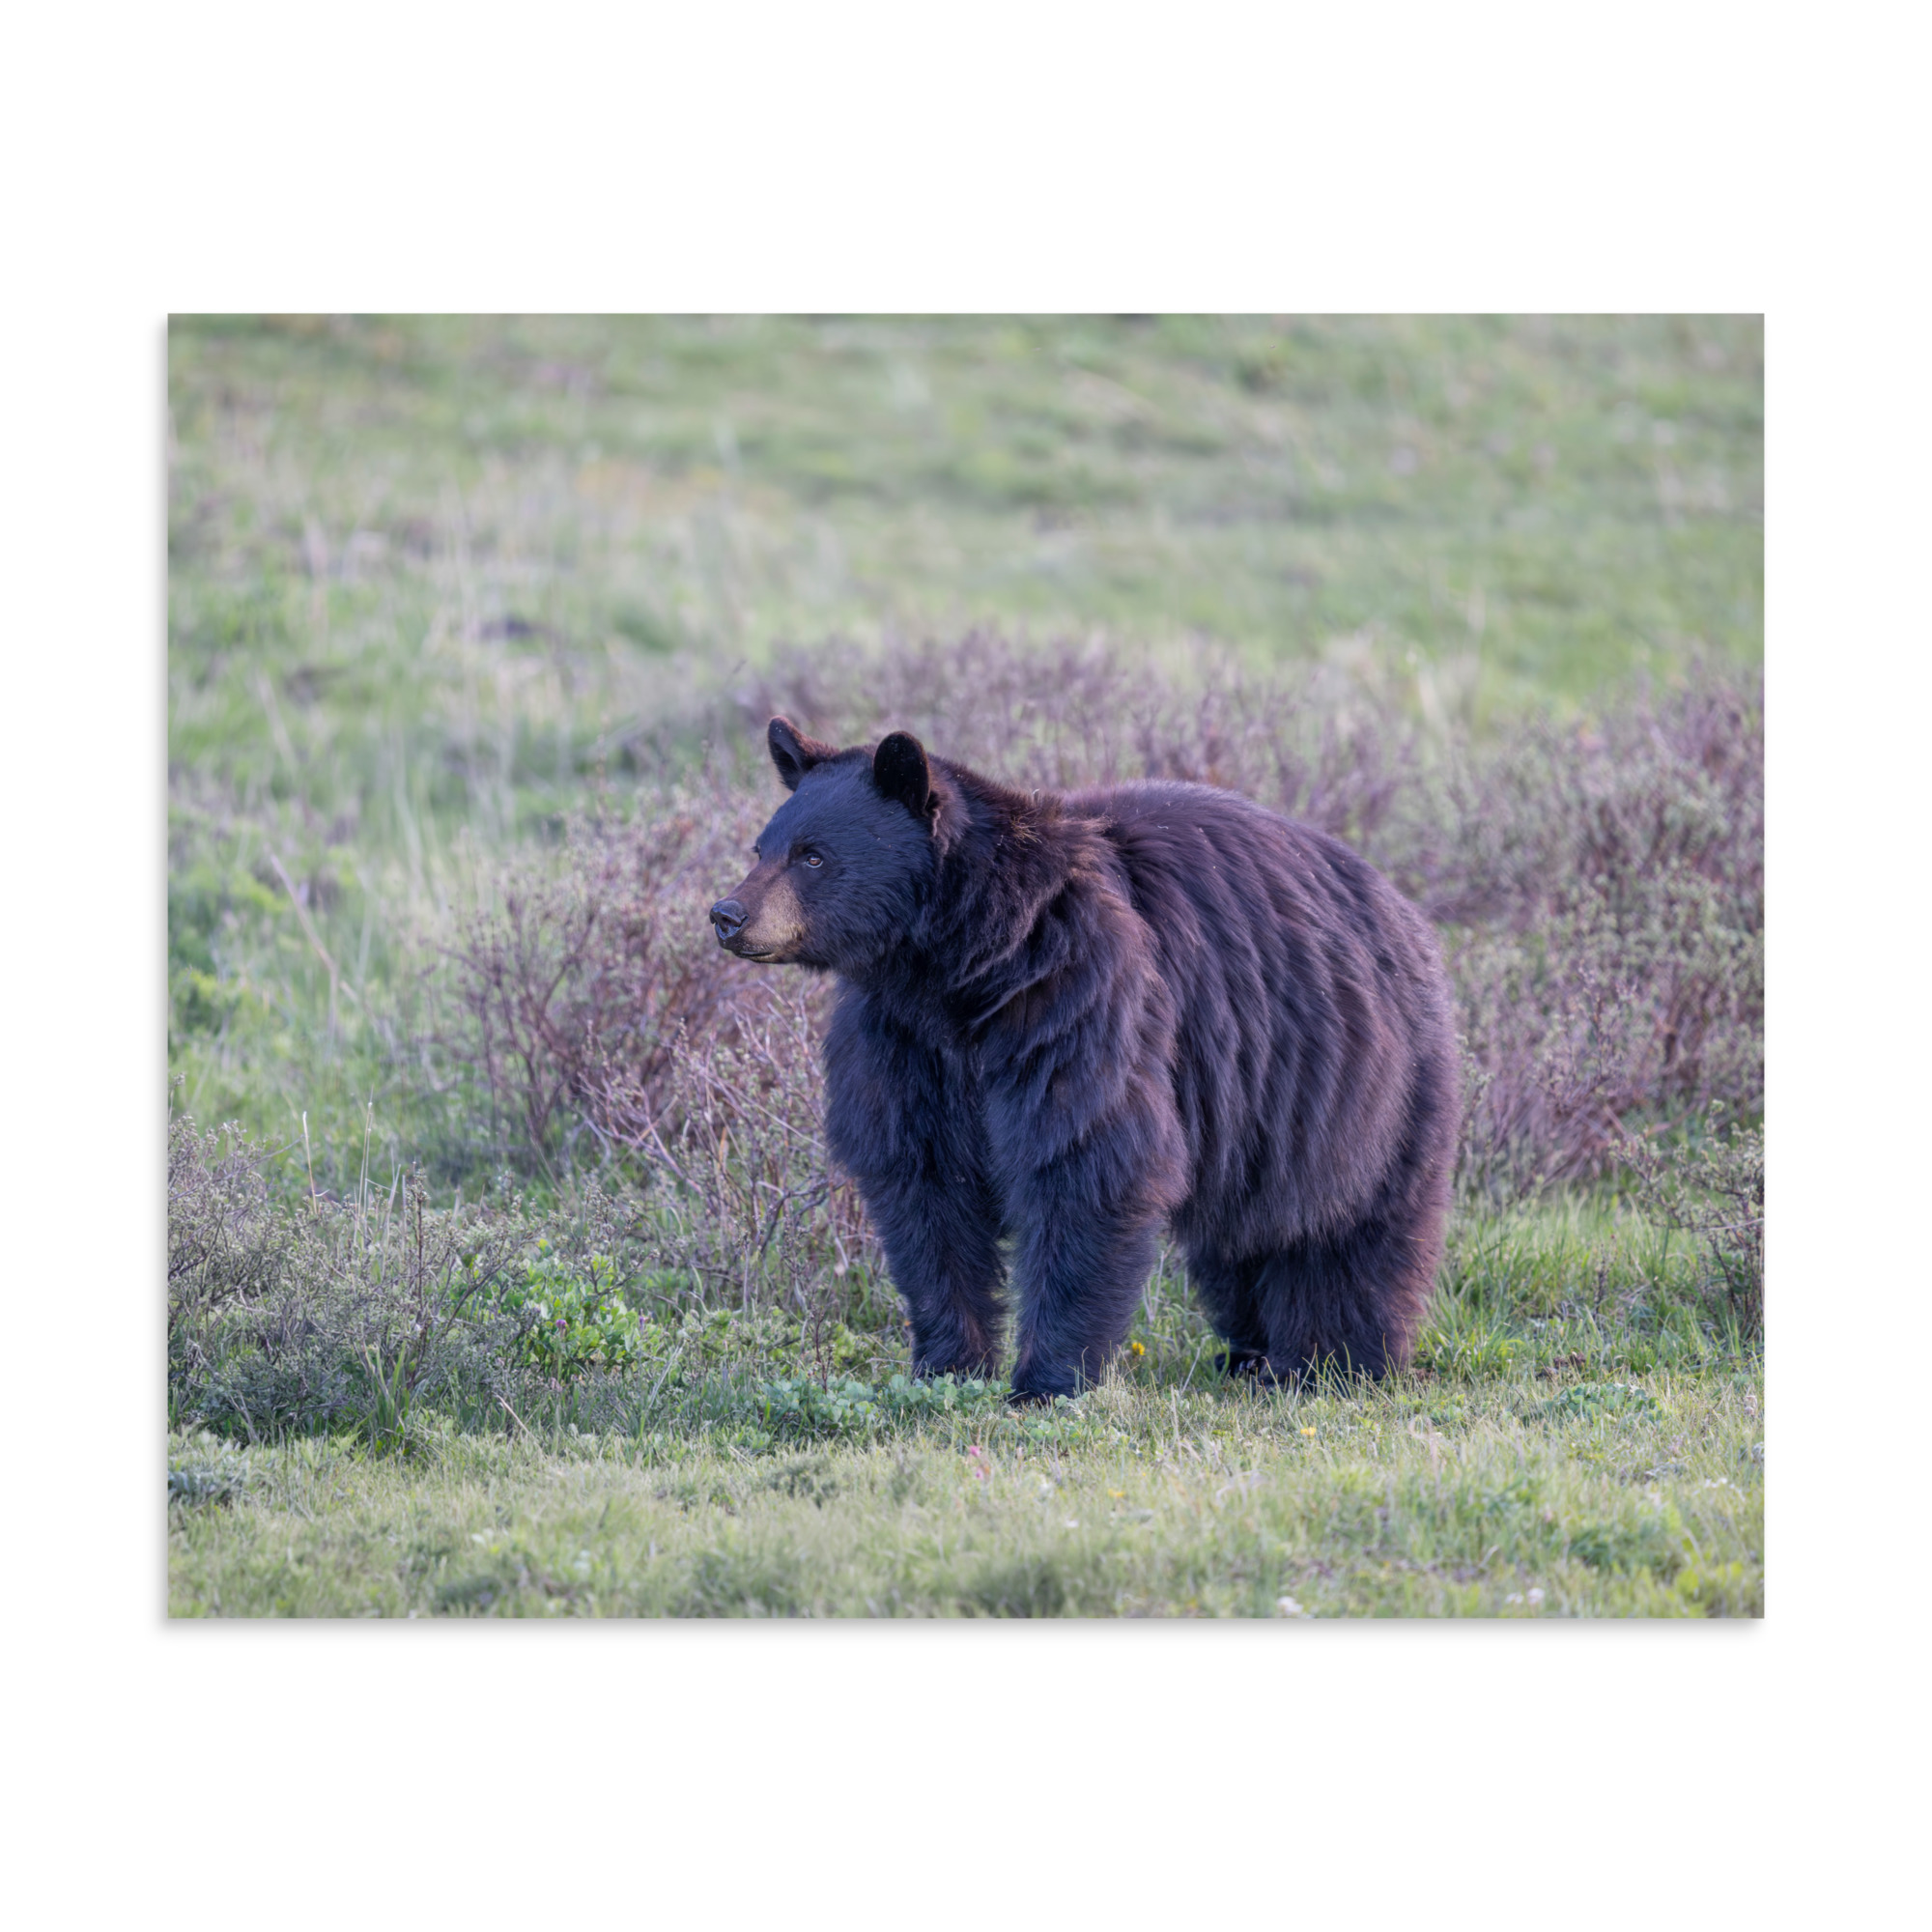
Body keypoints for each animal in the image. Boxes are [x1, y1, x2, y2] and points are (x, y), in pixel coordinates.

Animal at [709, 716, 1460, 1402]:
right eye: (761, 846)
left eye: (812, 856)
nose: (727, 914)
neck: (961, 967)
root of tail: (1403, 908)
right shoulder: (903, 1042)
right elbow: (923, 1186)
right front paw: (947, 1365)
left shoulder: (1077, 996)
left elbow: (1085, 1160)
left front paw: (1047, 1381)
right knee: (1243, 1238)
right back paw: (1250, 1354)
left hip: (1361, 1082)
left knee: (1351, 1229)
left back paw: (1332, 1361)